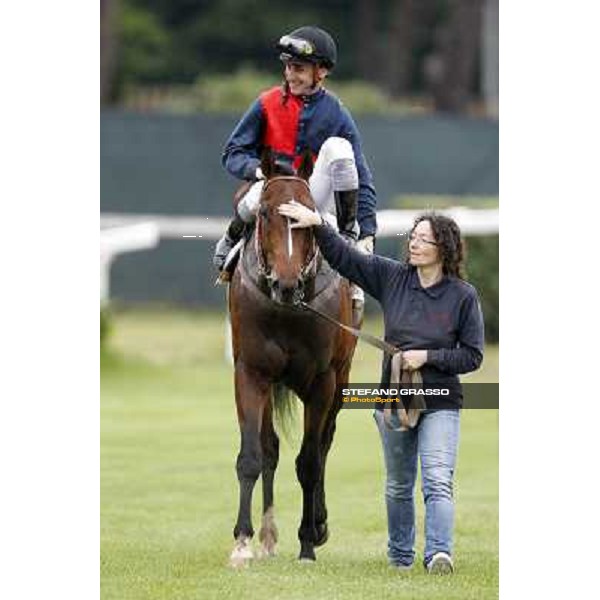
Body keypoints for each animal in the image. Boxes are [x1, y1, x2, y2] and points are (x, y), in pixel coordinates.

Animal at [227, 148, 358, 564]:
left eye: (308, 212)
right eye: (266, 213)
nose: (286, 284)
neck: (285, 309)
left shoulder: (322, 381)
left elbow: (311, 461)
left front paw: (307, 541)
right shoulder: (251, 372)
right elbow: (253, 455)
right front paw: (242, 542)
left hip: (341, 379)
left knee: (325, 444)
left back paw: (318, 524)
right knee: (270, 448)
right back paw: (268, 536)